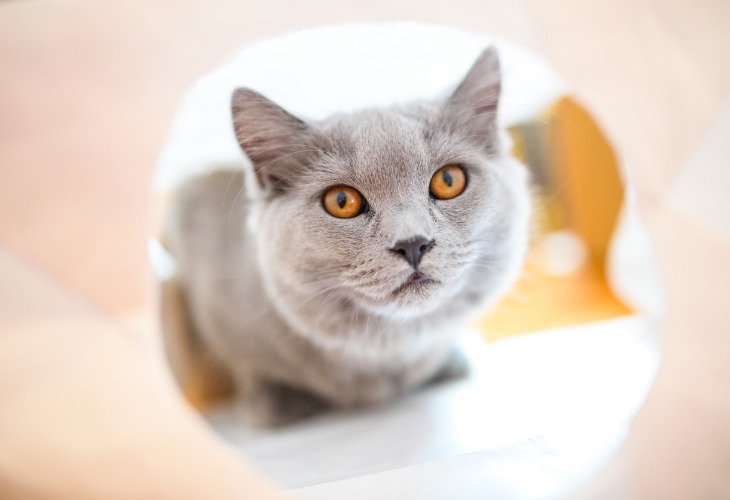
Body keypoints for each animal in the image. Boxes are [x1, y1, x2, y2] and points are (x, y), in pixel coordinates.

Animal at [164, 47, 528, 428]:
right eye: (341, 201)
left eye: (448, 180)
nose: (412, 243)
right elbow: (243, 358)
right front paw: (276, 400)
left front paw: (446, 361)